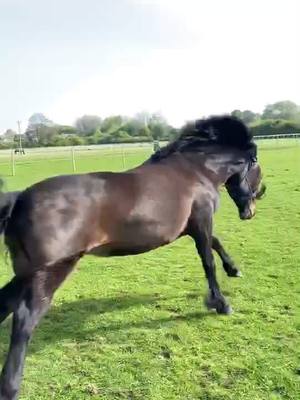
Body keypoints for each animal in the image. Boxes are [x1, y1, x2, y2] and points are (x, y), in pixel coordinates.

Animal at [0, 114, 264, 398]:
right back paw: (10, 386)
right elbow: (208, 262)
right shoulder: (202, 222)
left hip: (25, 274)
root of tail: (19, 200)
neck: (196, 172)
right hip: (49, 273)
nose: (250, 211)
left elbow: (216, 245)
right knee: (23, 319)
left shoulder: (191, 228)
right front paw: (221, 303)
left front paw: (234, 269)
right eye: (256, 168)